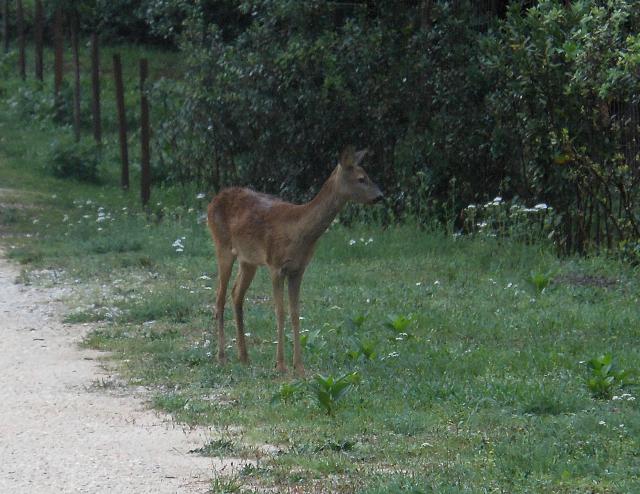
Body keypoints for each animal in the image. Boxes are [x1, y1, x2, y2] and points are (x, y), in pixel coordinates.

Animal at [208, 145, 382, 376]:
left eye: (368, 175)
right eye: (361, 178)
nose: (380, 196)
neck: (299, 230)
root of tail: (212, 201)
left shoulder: (298, 269)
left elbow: (295, 313)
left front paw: (299, 366)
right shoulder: (275, 265)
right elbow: (280, 312)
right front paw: (280, 365)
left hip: (248, 260)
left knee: (236, 294)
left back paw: (244, 357)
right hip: (223, 246)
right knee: (219, 297)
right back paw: (221, 357)